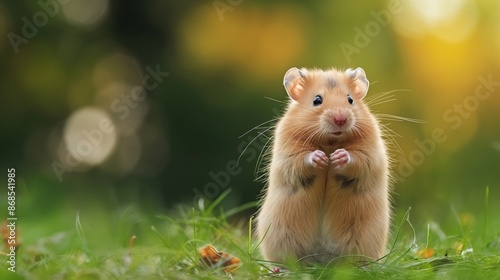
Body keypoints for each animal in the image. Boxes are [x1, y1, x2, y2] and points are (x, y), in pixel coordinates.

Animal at [258, 66, 390, 264]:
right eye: (317, 100)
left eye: (350, 99)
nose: (340, 119)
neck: (330, 141)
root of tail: (320, 258)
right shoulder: (288, 153)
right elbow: (301, 159)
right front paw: (321, 158)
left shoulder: (370, 153)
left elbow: (358, 159)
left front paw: (337, 157)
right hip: (278, 232)